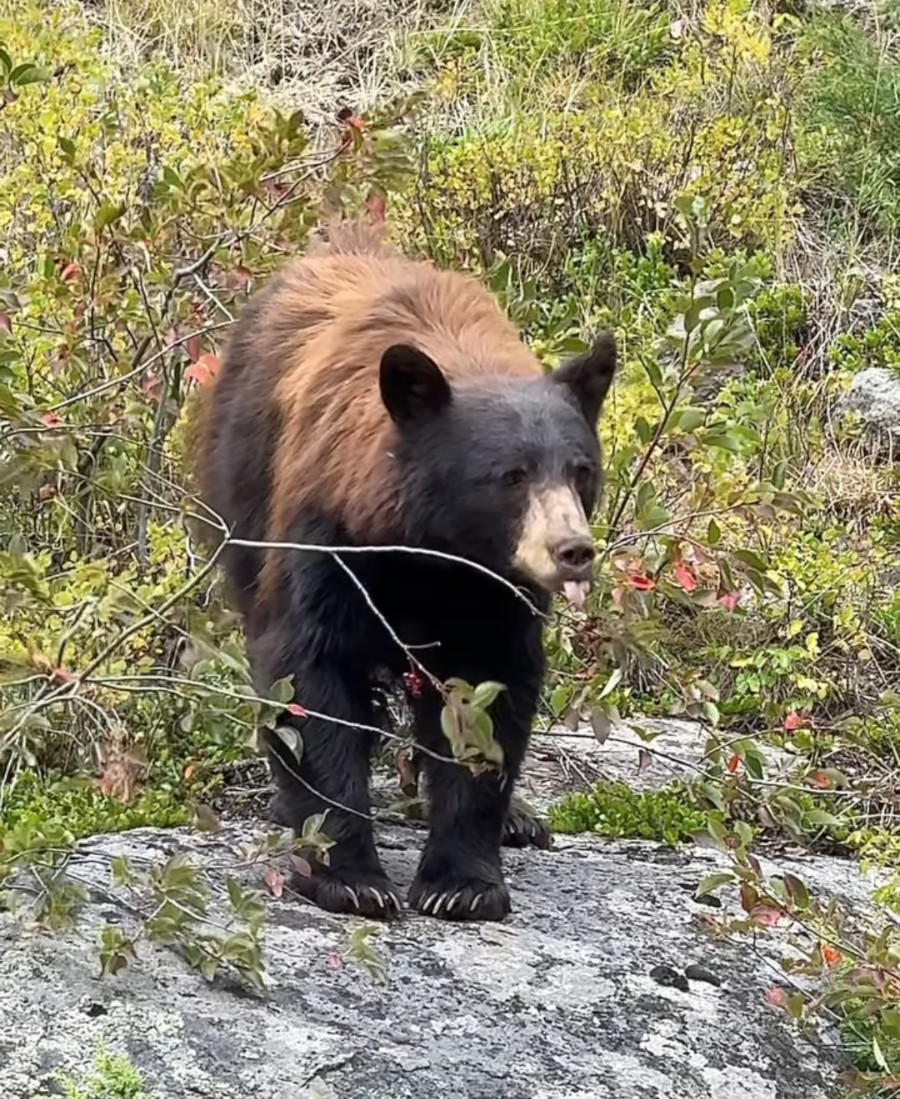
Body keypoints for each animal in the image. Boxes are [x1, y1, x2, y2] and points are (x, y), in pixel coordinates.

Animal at [194, 219, 617, 921]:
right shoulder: (327, 531)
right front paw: (348, 874)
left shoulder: (495, 589)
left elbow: (491, 690)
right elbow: (311, 671)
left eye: (580, 471)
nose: (572, 550)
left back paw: (519, 818)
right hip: (242, 491)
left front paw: (462, 882)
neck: (431, 548)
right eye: (511, 476)